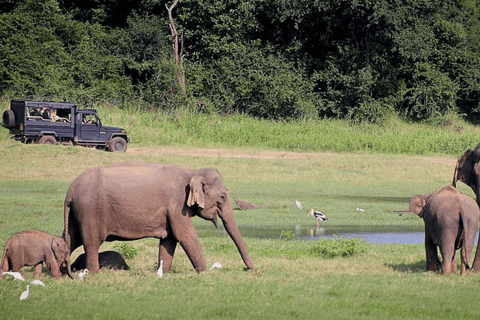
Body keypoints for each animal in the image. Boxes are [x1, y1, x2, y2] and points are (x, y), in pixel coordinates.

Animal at [63, 161, 255, 274]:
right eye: (222, 197)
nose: (250, 269)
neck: (191, 172)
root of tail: (71, 189)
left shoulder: (172, 211)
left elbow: (169, 239)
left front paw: (164, 273)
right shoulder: (177, 204)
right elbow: (185, 235)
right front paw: (204, 272)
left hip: (77, 213)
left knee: (70, 239)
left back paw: (62, 272)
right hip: (90, 211)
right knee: (91, 242)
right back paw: (93, 274)